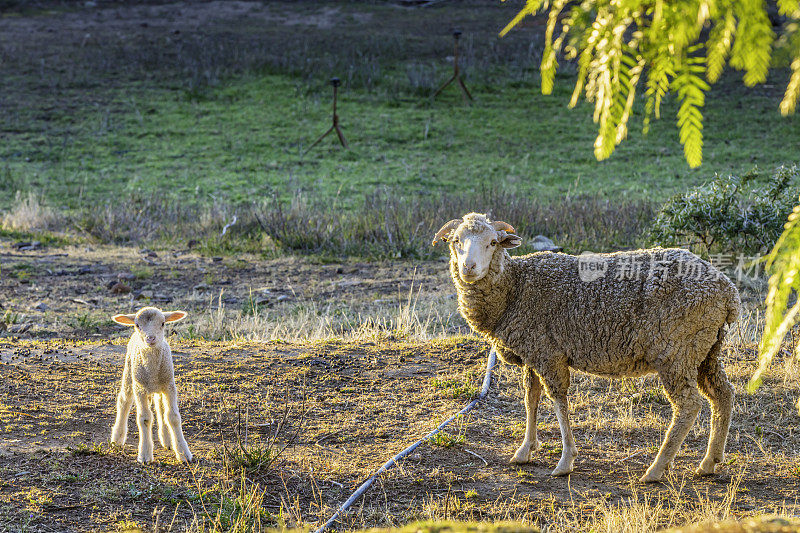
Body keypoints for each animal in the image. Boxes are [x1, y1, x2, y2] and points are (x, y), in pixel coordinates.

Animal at [110, 306, 193, 464]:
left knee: (160, 406)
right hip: (129, 373)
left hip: (159, 388)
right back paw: (117, 438)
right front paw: (145, 454)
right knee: (124, 401)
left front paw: (183, 453)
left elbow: (173, 416)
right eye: (137, 325)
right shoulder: (140, 388)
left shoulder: (169, 385)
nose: (151, 338)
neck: (153, 371)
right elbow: (145, 418)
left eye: (163, 323)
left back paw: (167, 439)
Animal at [434, 212, 740, 482]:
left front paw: (565, 461)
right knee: (723, 394)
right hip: (706, 348)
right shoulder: (532, 351)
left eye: (493, 243)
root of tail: (728, 291)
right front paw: (525, 450)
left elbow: (558, 402)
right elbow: (531, 399)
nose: (469, 268)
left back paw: (656, 469)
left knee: (688, 405)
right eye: (456, 241)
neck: (516, 288)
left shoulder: (549, 353)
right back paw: (709, 462)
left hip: (676, 351)